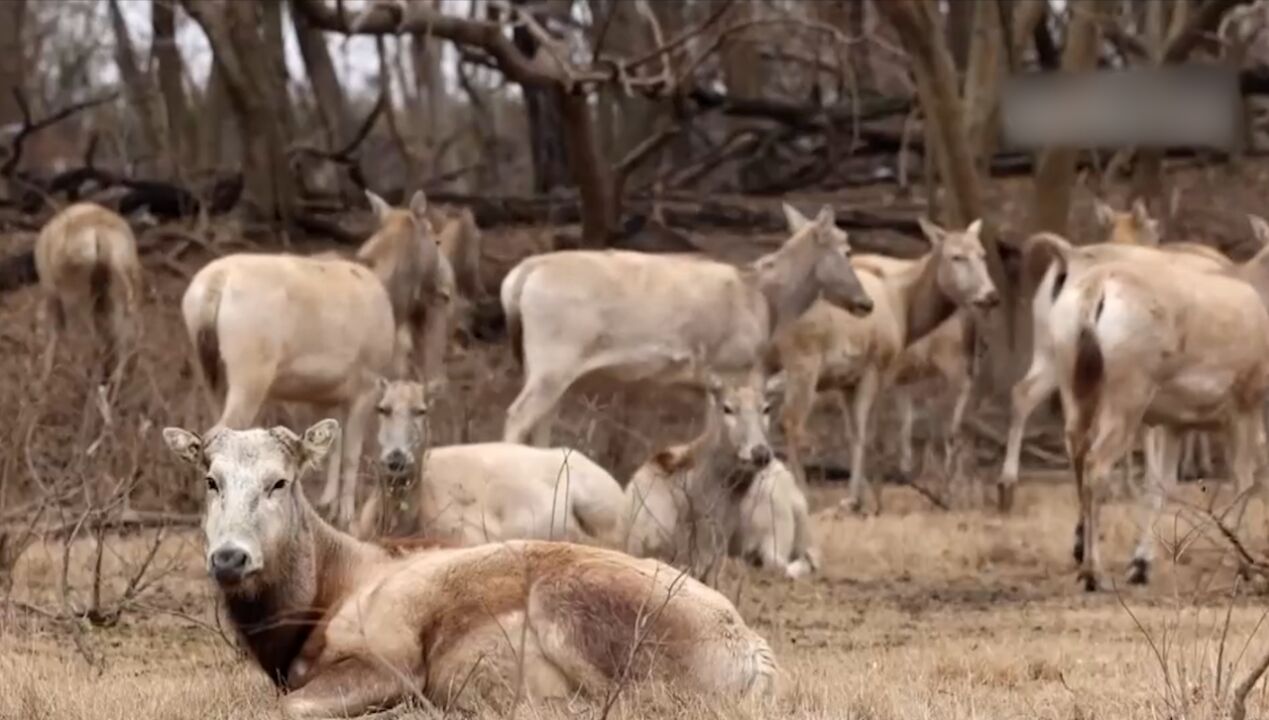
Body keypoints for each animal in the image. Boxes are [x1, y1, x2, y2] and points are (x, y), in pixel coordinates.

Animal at [34, 201, 142, 388]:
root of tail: (100, 236)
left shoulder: (53, 294)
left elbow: (53, 334)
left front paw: (44, 377)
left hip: (77, 295)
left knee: (86, 340)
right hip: (120, 291)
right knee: (122, 337)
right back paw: (115, 381)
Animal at [163, 419, 776, 716]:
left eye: (280, 481)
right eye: (210, 479)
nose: (230, 557)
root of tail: (754, 652)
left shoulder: (391, 660)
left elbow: (286, 709)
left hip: (576, 612)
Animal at [497, 203, 873, 446]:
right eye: (848, 250)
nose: (865, 304)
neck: (765, 301)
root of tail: (519, 277)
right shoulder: (730, 363)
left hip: (537, 362)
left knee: (541, 421)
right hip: (555, 356)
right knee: (517, 414)